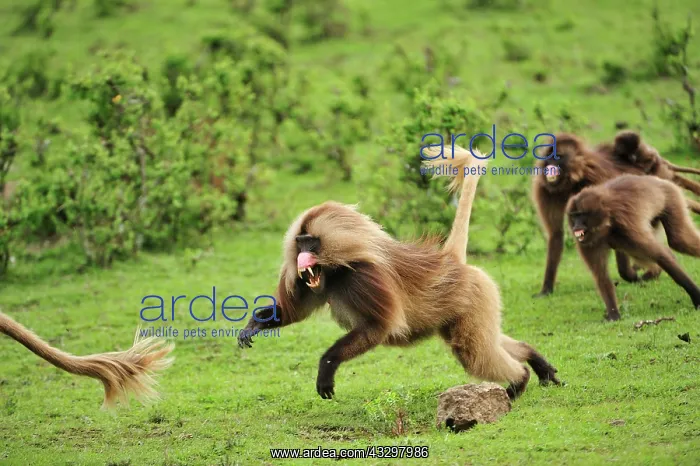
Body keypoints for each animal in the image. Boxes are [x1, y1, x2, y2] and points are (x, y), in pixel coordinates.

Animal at [238, 145, 560, 401]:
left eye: (312, 243)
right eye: (300, 242)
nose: (301, 259)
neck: (337, 272)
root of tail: (450, 260)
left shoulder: (364, 280)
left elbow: (377, 328)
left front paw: (326, 368)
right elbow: (296, 313)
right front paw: (255, 324)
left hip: (474, 295)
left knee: (473, 352)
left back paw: (519, 381)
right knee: (483, 341)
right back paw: (534, 361)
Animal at [532, 132, 700, 298]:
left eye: (558, 156)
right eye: (548, 156)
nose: (548, 165)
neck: (572, 181)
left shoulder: (598, 181)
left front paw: (630, 274)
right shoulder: (545, 190)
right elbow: (556, 234)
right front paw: (546, 289)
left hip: (657, 178)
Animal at [567, 174, 700, 321]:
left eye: (581, 215)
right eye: (573, 216)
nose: (575, 227)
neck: (606, 221)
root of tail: (658, 180)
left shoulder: (627, 225)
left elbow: (661, 255)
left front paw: (697, 298)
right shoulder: (587, 242)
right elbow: (601, 275)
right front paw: (613, 314)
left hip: (670, 197)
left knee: (678, 241)